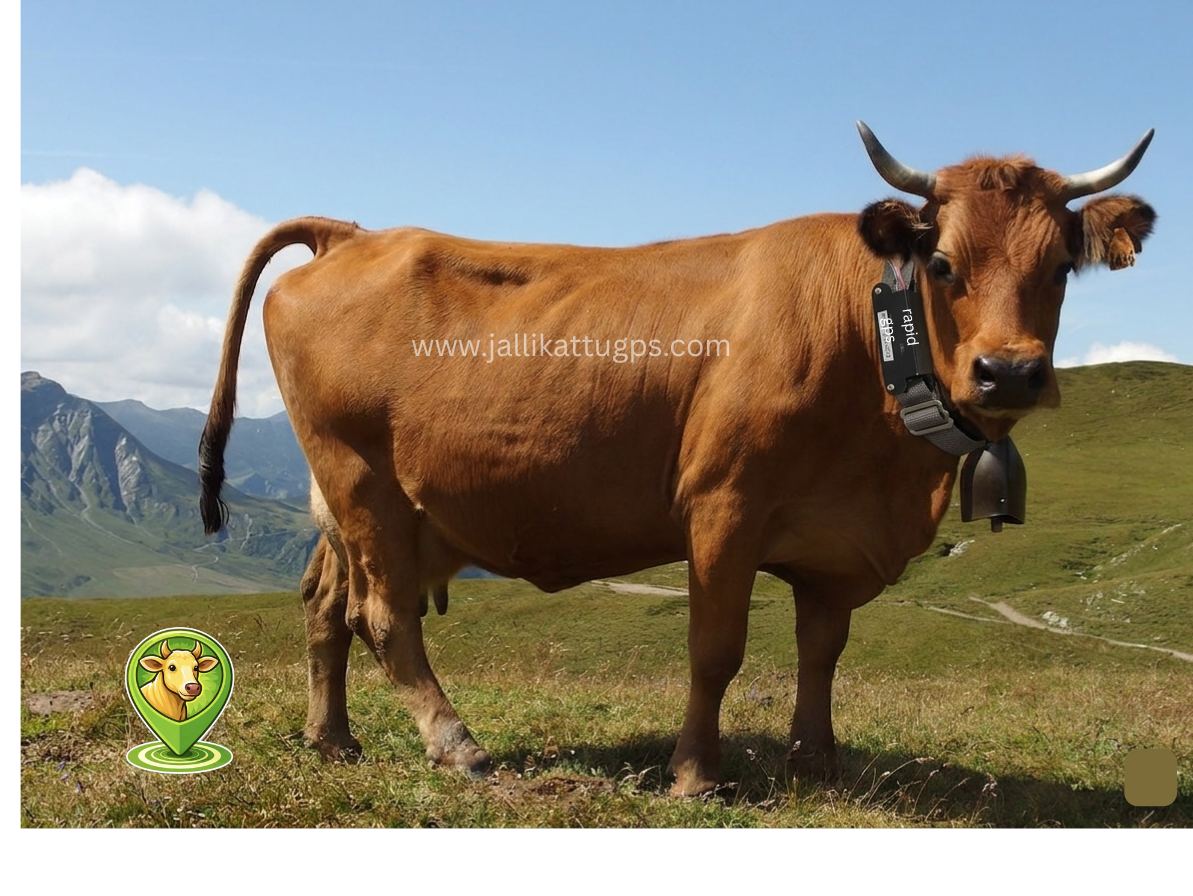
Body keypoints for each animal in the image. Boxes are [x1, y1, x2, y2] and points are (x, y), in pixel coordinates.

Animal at [199, 122, 1155, 796]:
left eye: (1060, 266)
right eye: (946, 263)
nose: (1009, 372)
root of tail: (354, 234)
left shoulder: (833, 539)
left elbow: (822, 651)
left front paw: (817, 765)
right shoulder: (723, 505)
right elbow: (715, 649)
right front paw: (696, 773)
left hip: (357, 502)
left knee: (325, 606)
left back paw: (333, 740)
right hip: (361, 480)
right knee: (384, 617)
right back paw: (457, 744)